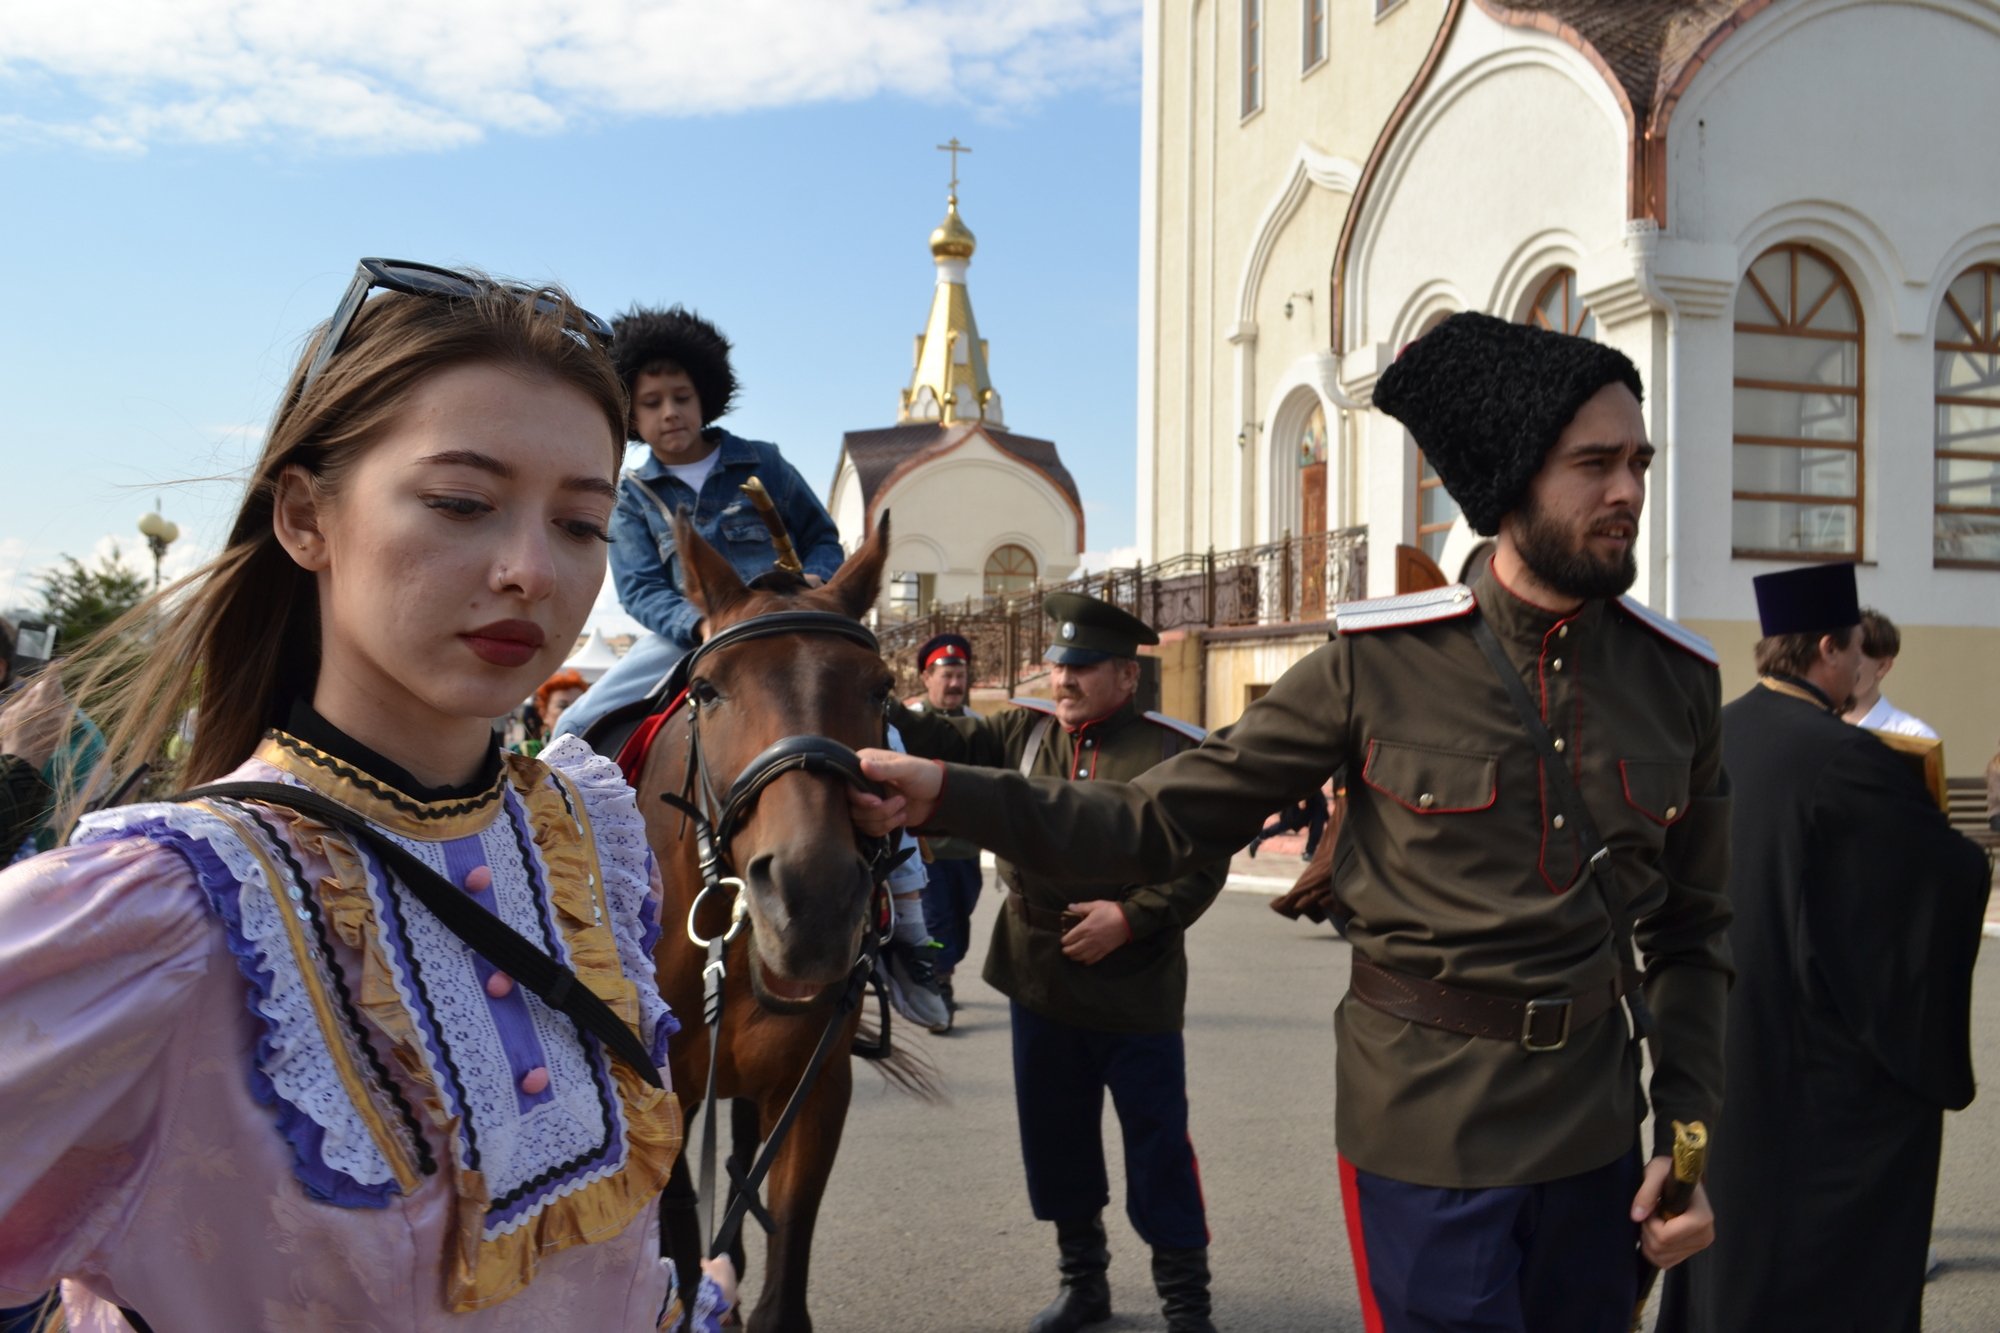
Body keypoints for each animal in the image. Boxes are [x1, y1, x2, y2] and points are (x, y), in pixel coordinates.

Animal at [636, 510, 912, 1328]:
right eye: (706, 689)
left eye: (881, 688)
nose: (811, 899)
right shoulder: (667, 1097)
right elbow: (680, 1251)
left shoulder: (815, 1089)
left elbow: (782, 1291)